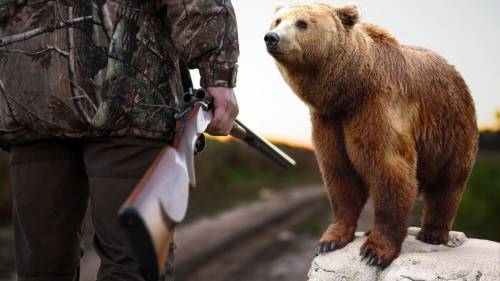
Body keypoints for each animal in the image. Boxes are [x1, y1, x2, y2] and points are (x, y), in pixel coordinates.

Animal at [266, 3, 480, 266]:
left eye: (302, 23)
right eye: (278, 20)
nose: (271, 37)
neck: (348, 90)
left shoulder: (377, 106)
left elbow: (389, 166)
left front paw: (374, 252)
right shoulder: (329, 120)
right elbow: (339, 171)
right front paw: (330, 240)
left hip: (452, 130)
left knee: (447, 184)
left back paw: (432, 233)